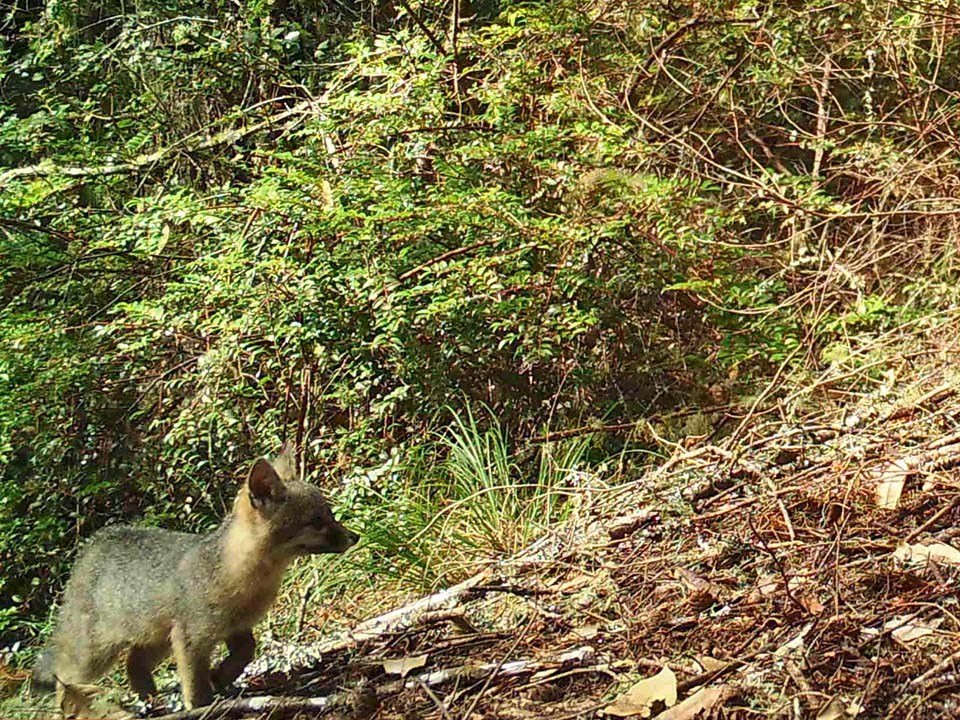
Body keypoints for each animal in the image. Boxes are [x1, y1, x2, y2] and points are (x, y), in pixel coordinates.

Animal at [32, 444, 360, 708]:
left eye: (330, 515)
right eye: (316, 522)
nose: (354, 537)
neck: (243, 577)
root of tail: (92, 544)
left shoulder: (237, 628)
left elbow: (245, 654)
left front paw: (221, 675)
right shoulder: (191, 636)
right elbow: (195, 681)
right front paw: (201, 703)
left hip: (157, 640)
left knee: (133, 665)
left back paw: (150, 702)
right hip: (97, 654)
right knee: (65, 677)